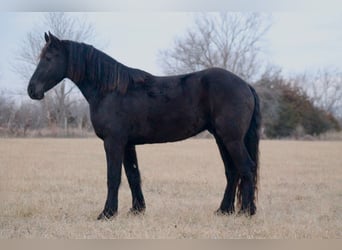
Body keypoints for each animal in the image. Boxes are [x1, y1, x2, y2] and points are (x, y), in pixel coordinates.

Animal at [27, 32, 262, 219]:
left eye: (48, 58)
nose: (32, 90)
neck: (110, 90)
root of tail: (245, 85)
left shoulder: (113, 142)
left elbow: (113, 177)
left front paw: (107, 213)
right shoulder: (127, 144)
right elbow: (133, 175)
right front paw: (136, 210)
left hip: (231, 139)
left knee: (246, 167)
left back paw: (247, 212)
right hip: (222, 138)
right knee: (232, 171)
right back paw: (224, 210)